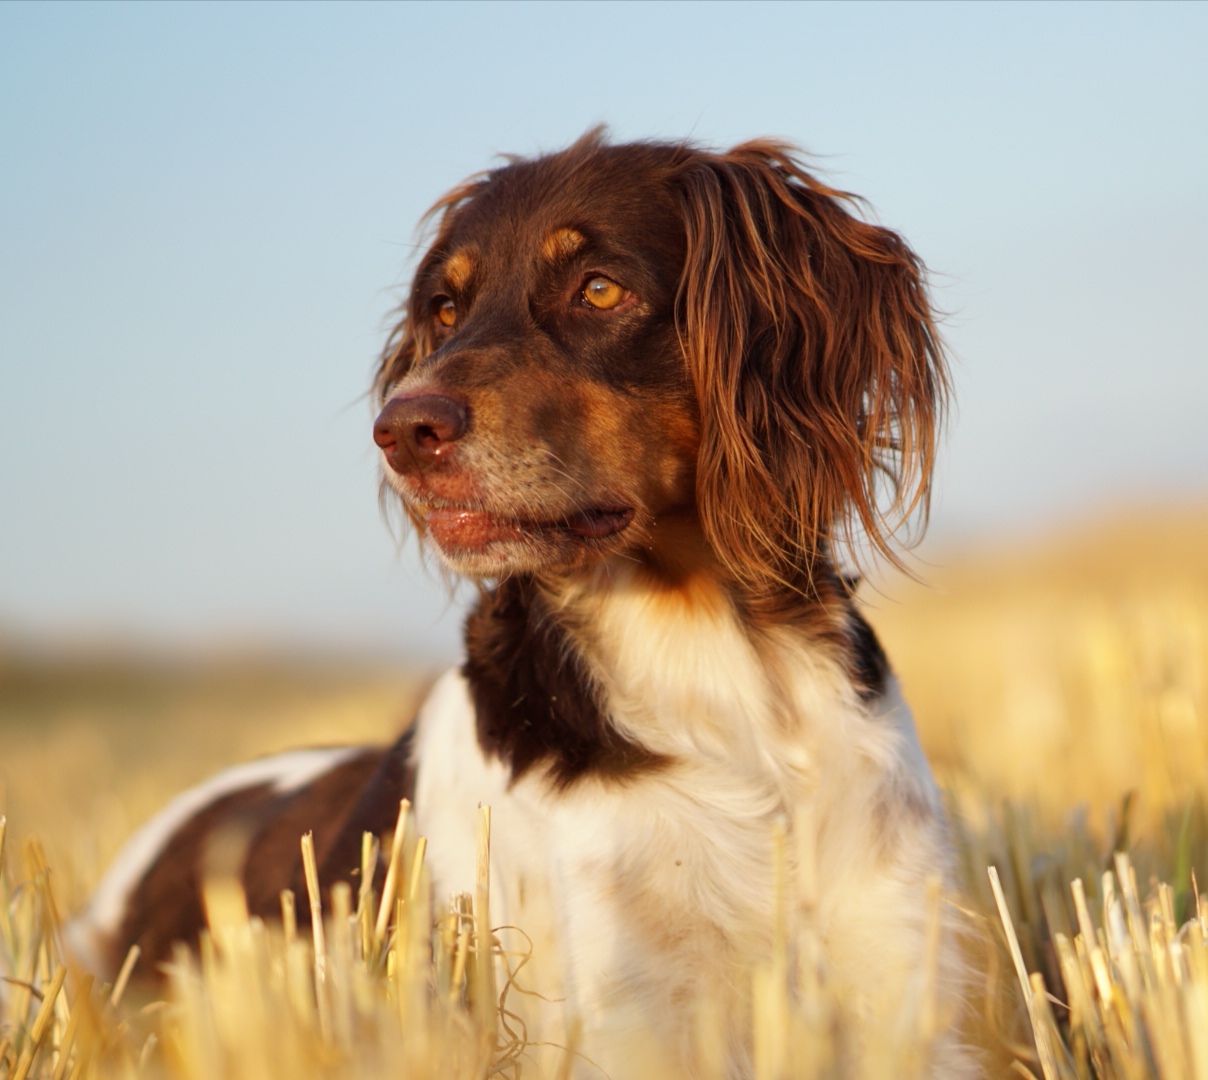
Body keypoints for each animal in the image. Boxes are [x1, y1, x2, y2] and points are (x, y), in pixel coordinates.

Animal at [73, 131, 980, 1077]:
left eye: (599, 289)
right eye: (444, 308)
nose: (404, 431)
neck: (709, 657)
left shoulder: (898, 980)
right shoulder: (630, 1014)